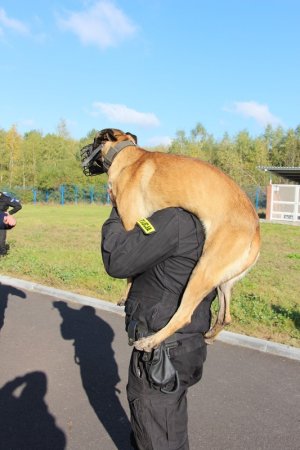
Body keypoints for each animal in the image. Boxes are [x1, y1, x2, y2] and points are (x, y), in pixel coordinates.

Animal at [80, 128, 260, 354]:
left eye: (95, 139)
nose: (82, 152)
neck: (128, 155)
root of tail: (256, 231)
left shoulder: (130, 224)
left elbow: (130, 274)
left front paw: (124, 296)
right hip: (223, 282)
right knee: (225, 316)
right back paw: (210, 335)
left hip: (203, 271)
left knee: (184, 316)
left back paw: (151, 341)